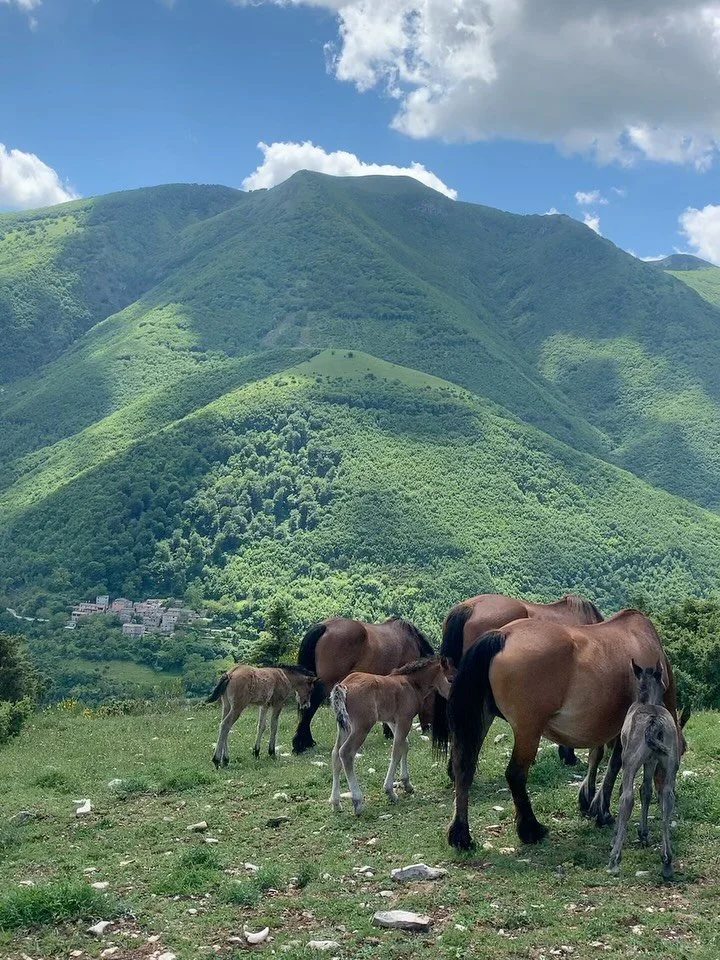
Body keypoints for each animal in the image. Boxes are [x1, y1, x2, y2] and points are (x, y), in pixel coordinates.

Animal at [291, 616, 435, 754]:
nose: (429, 730)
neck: (411, 640)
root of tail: (325, 626)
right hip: (326, 684)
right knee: (310, 707)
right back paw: (301, 744)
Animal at [329, 657, 454, 815]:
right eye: (450, 679)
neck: (412, 684)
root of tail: (344, 686)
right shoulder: (404, 719)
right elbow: (396, 750)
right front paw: (390, 791)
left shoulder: (392, 721)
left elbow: (404, 745)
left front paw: (407, 784)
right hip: (362, 726)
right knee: (345, 753)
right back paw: (357, 801)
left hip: (344, 727)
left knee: (335, 754)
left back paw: (336, 802)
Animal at [442, 609, 679, 850]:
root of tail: (503, 635)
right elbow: (613, 765)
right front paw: (602, 811)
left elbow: (598, 757)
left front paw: (589, 801)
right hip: (528, 730)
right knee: (515, 774)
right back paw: (531, 829)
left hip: (482, 720)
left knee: (464, 768)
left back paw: (461, 835)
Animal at [608, 660, 690, 880]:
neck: (647, 700)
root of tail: (655, 722)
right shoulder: (652, 761)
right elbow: (646, 790)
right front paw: (644, 834)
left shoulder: (633, 759)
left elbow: (634, 791)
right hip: (669, 762)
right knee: (667, 798)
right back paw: (667, 861)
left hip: (630, 761)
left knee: (626, 797)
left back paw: (614, 857)